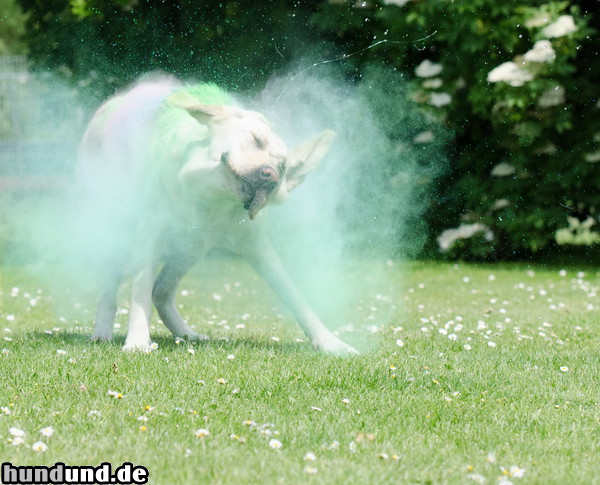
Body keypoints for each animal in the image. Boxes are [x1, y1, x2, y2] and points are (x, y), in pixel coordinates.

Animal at [78, 79, 356, 356]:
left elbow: (295, 296)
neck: (211, 202)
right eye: (256, 140)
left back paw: (187, 334)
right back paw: (102, 332)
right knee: (113, 288)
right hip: (116, 231)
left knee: (162, 291)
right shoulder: (149, 234)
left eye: (283, 167)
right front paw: (137, 341)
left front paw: (331, 342)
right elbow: (140, 294)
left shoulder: (257, 247)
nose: (272, 177)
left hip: (189, 251)